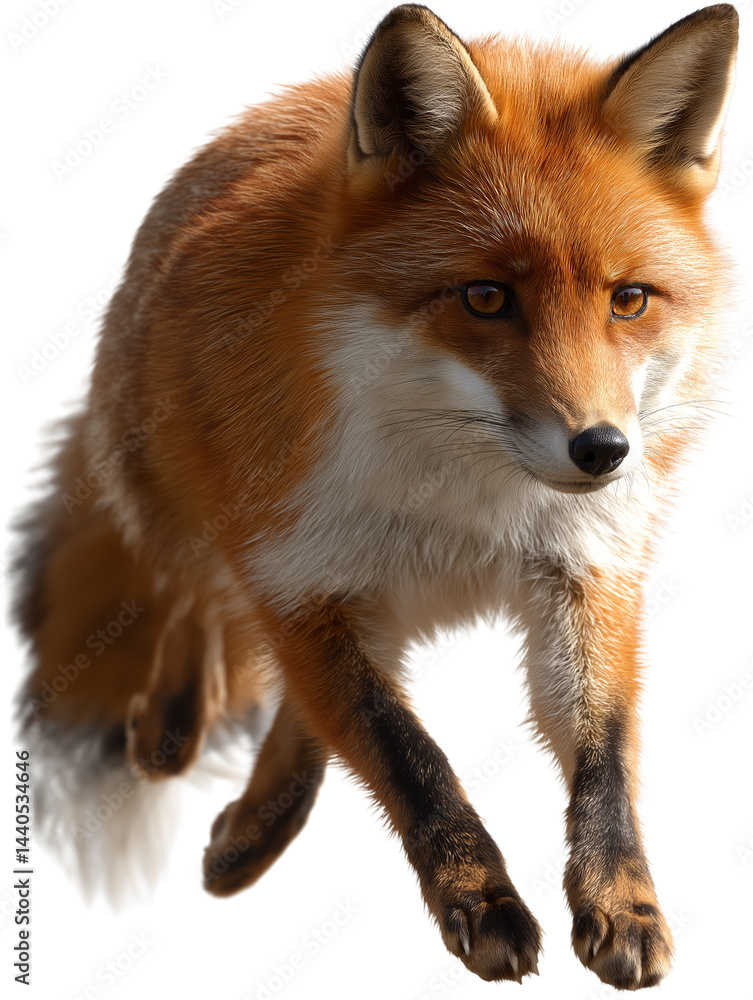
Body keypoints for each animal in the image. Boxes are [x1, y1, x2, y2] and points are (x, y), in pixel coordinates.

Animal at [13, 2, 738, 991]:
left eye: (628, 300)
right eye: (485, 297)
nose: (601, 450)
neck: (467, 505)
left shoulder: (585, 568)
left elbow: (604, 749)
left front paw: (620, 895)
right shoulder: (295, 574)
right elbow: (406, 751)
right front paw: (481, 898)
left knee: (304, 700)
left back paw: (254, 829)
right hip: (173, 494)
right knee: (190, 591)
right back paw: (175, 726)